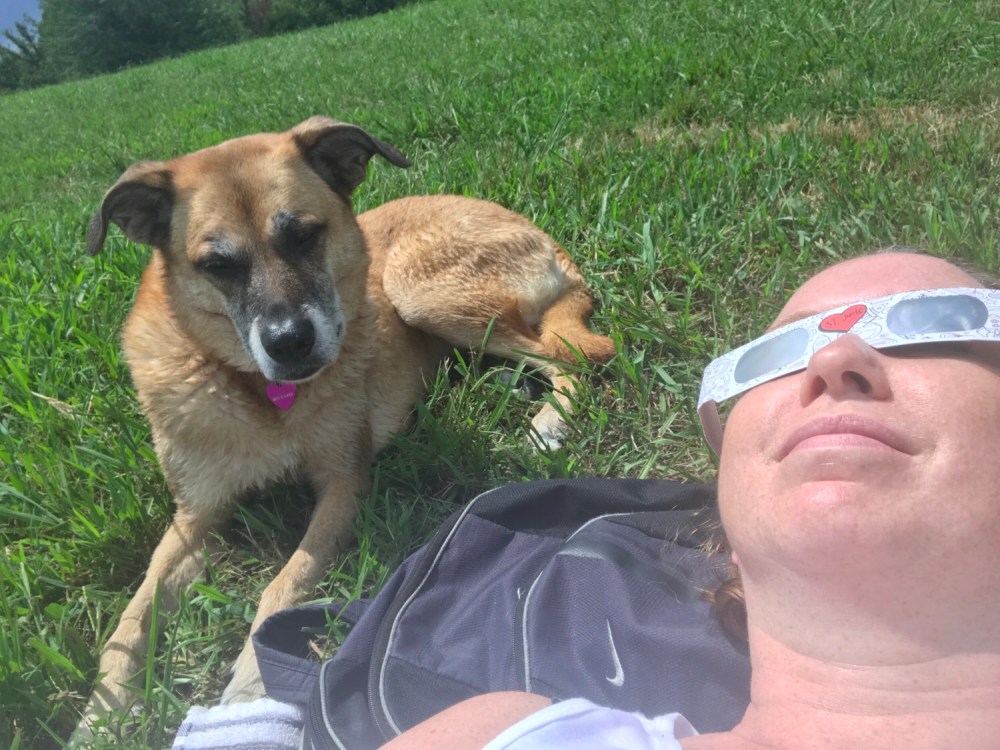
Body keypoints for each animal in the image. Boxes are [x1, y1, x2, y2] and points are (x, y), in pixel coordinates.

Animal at [79, 116, 615, 731]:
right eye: (216, 266)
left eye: (304, 235)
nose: (290, 342)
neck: (257, 391)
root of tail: (530, 229)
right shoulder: (196, 516)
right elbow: (134, 615)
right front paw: (102, 708)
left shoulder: (342, 486)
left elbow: (282, 587)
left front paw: (252, 680)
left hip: (418, 286)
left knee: (580, 355)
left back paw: (549, 420)